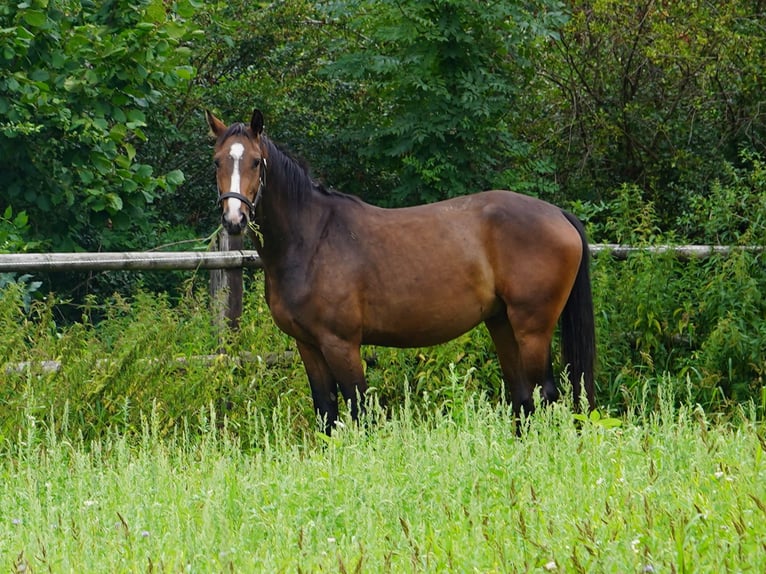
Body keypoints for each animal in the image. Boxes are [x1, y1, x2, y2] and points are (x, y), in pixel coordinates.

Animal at [207, 109, 596, 432]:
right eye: (217, 162)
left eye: (256, 161)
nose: (234, 219)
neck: (312, 237)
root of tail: (559, 214)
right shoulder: (308, 345)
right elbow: (326, 413)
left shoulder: (341, 344)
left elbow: (358, 410)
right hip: (502, 323)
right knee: (523, 396)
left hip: (532, 328)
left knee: (545, 393)